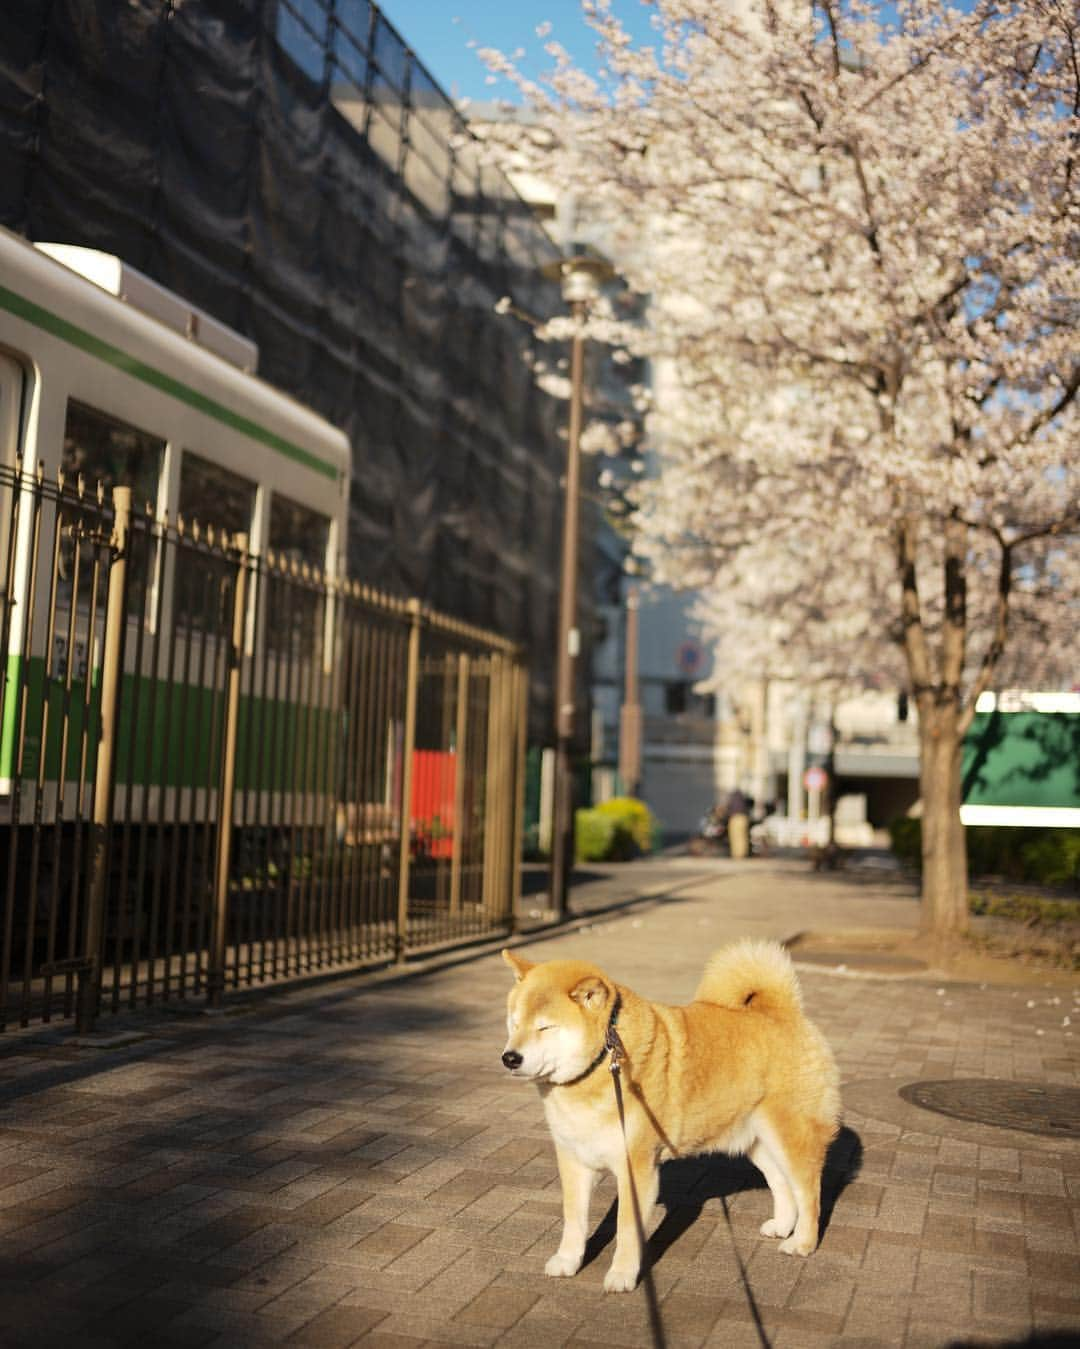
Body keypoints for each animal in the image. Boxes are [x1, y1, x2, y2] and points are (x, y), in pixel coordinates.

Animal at [501, 938, 835, 1295]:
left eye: (545, 1027)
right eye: (515, 1022)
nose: (510, 1057)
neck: (602, 1062)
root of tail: (783, 1011)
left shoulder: (636, 1168)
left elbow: (627, 1230)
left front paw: (622, 1275)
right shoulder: (574, 1160)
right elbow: (574, 1220)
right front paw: (567, 1261)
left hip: (790, 1135)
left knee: (809, 1192)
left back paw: (802, 1242)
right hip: (756, 1141)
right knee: (781, 1184)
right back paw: (783, 1226)